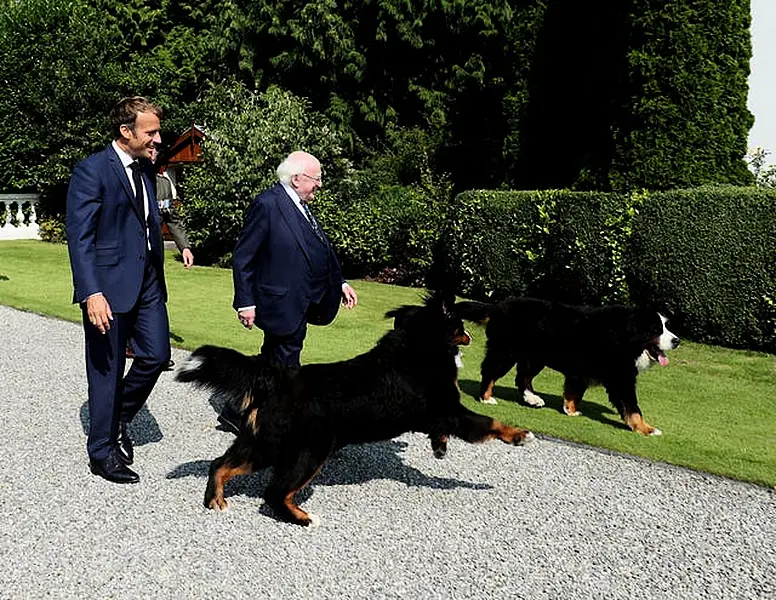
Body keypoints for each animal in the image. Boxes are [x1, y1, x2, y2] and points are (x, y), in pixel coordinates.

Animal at [176, 292, 532, 528]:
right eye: (458, 323)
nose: (470, 334)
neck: (418, 346)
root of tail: (277, 377)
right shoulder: (451, 409)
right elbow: (490, 422)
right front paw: (519, 435)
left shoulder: (437, 414)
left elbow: (442, 430)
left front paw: (440, 447)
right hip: (303, 451)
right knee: (274, 492)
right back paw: (303, 519)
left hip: (261, 443)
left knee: (220, 465)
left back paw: (215, 501)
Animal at [454, 298, 680, 436]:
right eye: (656, 329)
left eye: (666, 327)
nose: (676, 340)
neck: (626, 335)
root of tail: (499, 306)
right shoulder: (620, 378)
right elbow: (633, 408)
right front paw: (646, 429)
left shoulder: (580, 373)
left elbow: (574, 392)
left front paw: (570, 410)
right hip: (505, 352)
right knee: (490, 372)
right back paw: (486, 397)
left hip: (534, 357)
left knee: (523, 377)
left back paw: (533, 399)